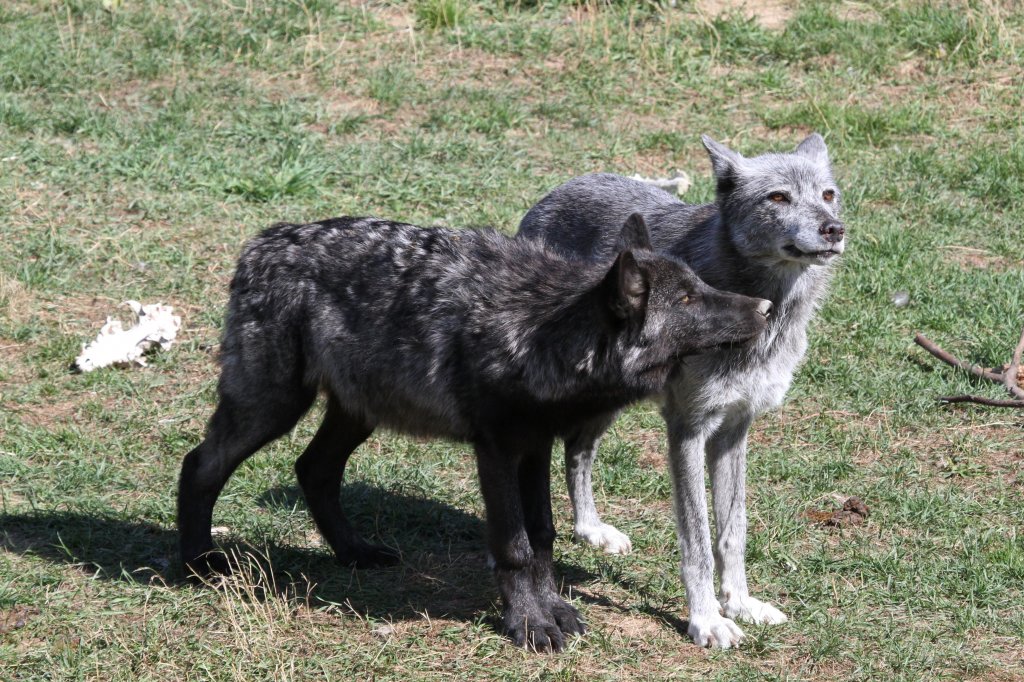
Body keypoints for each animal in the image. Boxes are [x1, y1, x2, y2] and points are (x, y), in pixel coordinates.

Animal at [176, 212, 770, 647]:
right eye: (689, 299)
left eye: (701, 285)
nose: (765, 307)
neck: (539, 331)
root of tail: (260, 243)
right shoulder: (497, 451)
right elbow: (514, 545)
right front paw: (530, 624)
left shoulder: (536, 448)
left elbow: (543, 536)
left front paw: (552, 609)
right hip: (272, 407)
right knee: (199, 464)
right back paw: (198, 563)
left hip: (356, 414)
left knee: (313, 469)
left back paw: (354, 552)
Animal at [520, 134, 847, 647]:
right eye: (778, 197)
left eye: (828, 194)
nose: (834, 229)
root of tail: (557, 192)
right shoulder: (687, 431)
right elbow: (697, 541)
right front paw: (707, 620)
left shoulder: (734, 430)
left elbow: (733, 532)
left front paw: (741, 604)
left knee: (578, 451)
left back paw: (590, 530)